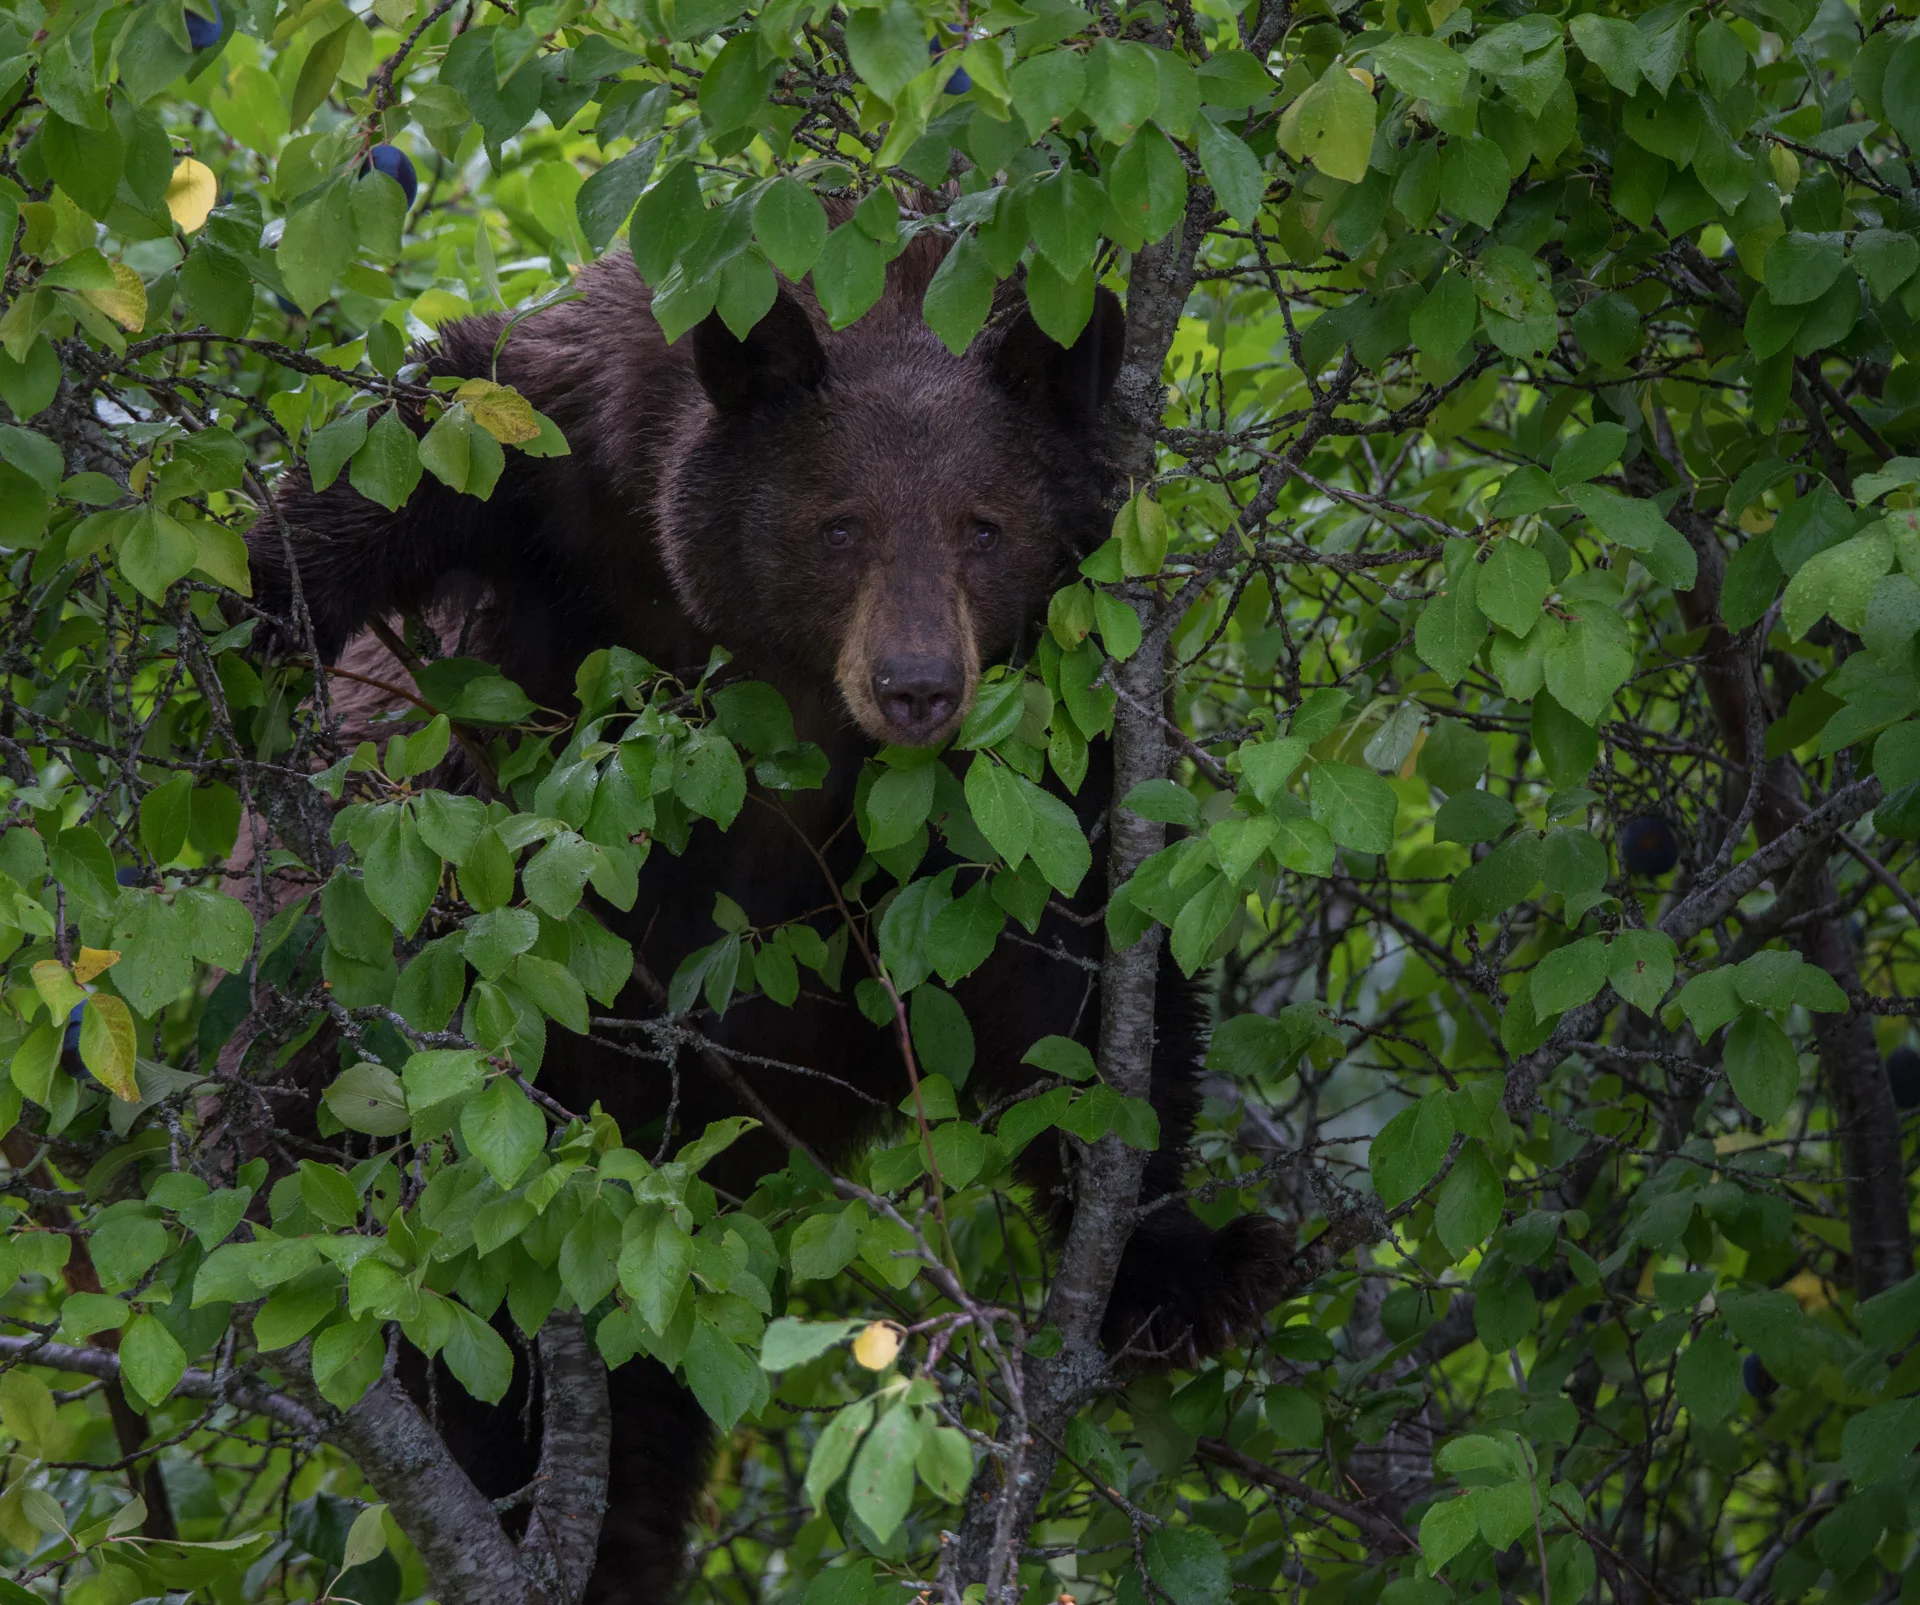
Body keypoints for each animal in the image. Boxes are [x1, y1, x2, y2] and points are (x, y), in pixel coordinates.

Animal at [245, 235, 1292, 1602]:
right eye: (839, 523)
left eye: (984, 525)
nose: (917, 687)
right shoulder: (576, 445)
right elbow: (402, 451)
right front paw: (241, 605)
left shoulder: (1040, 713)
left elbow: (1068, 951)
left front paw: (1171, 1268)